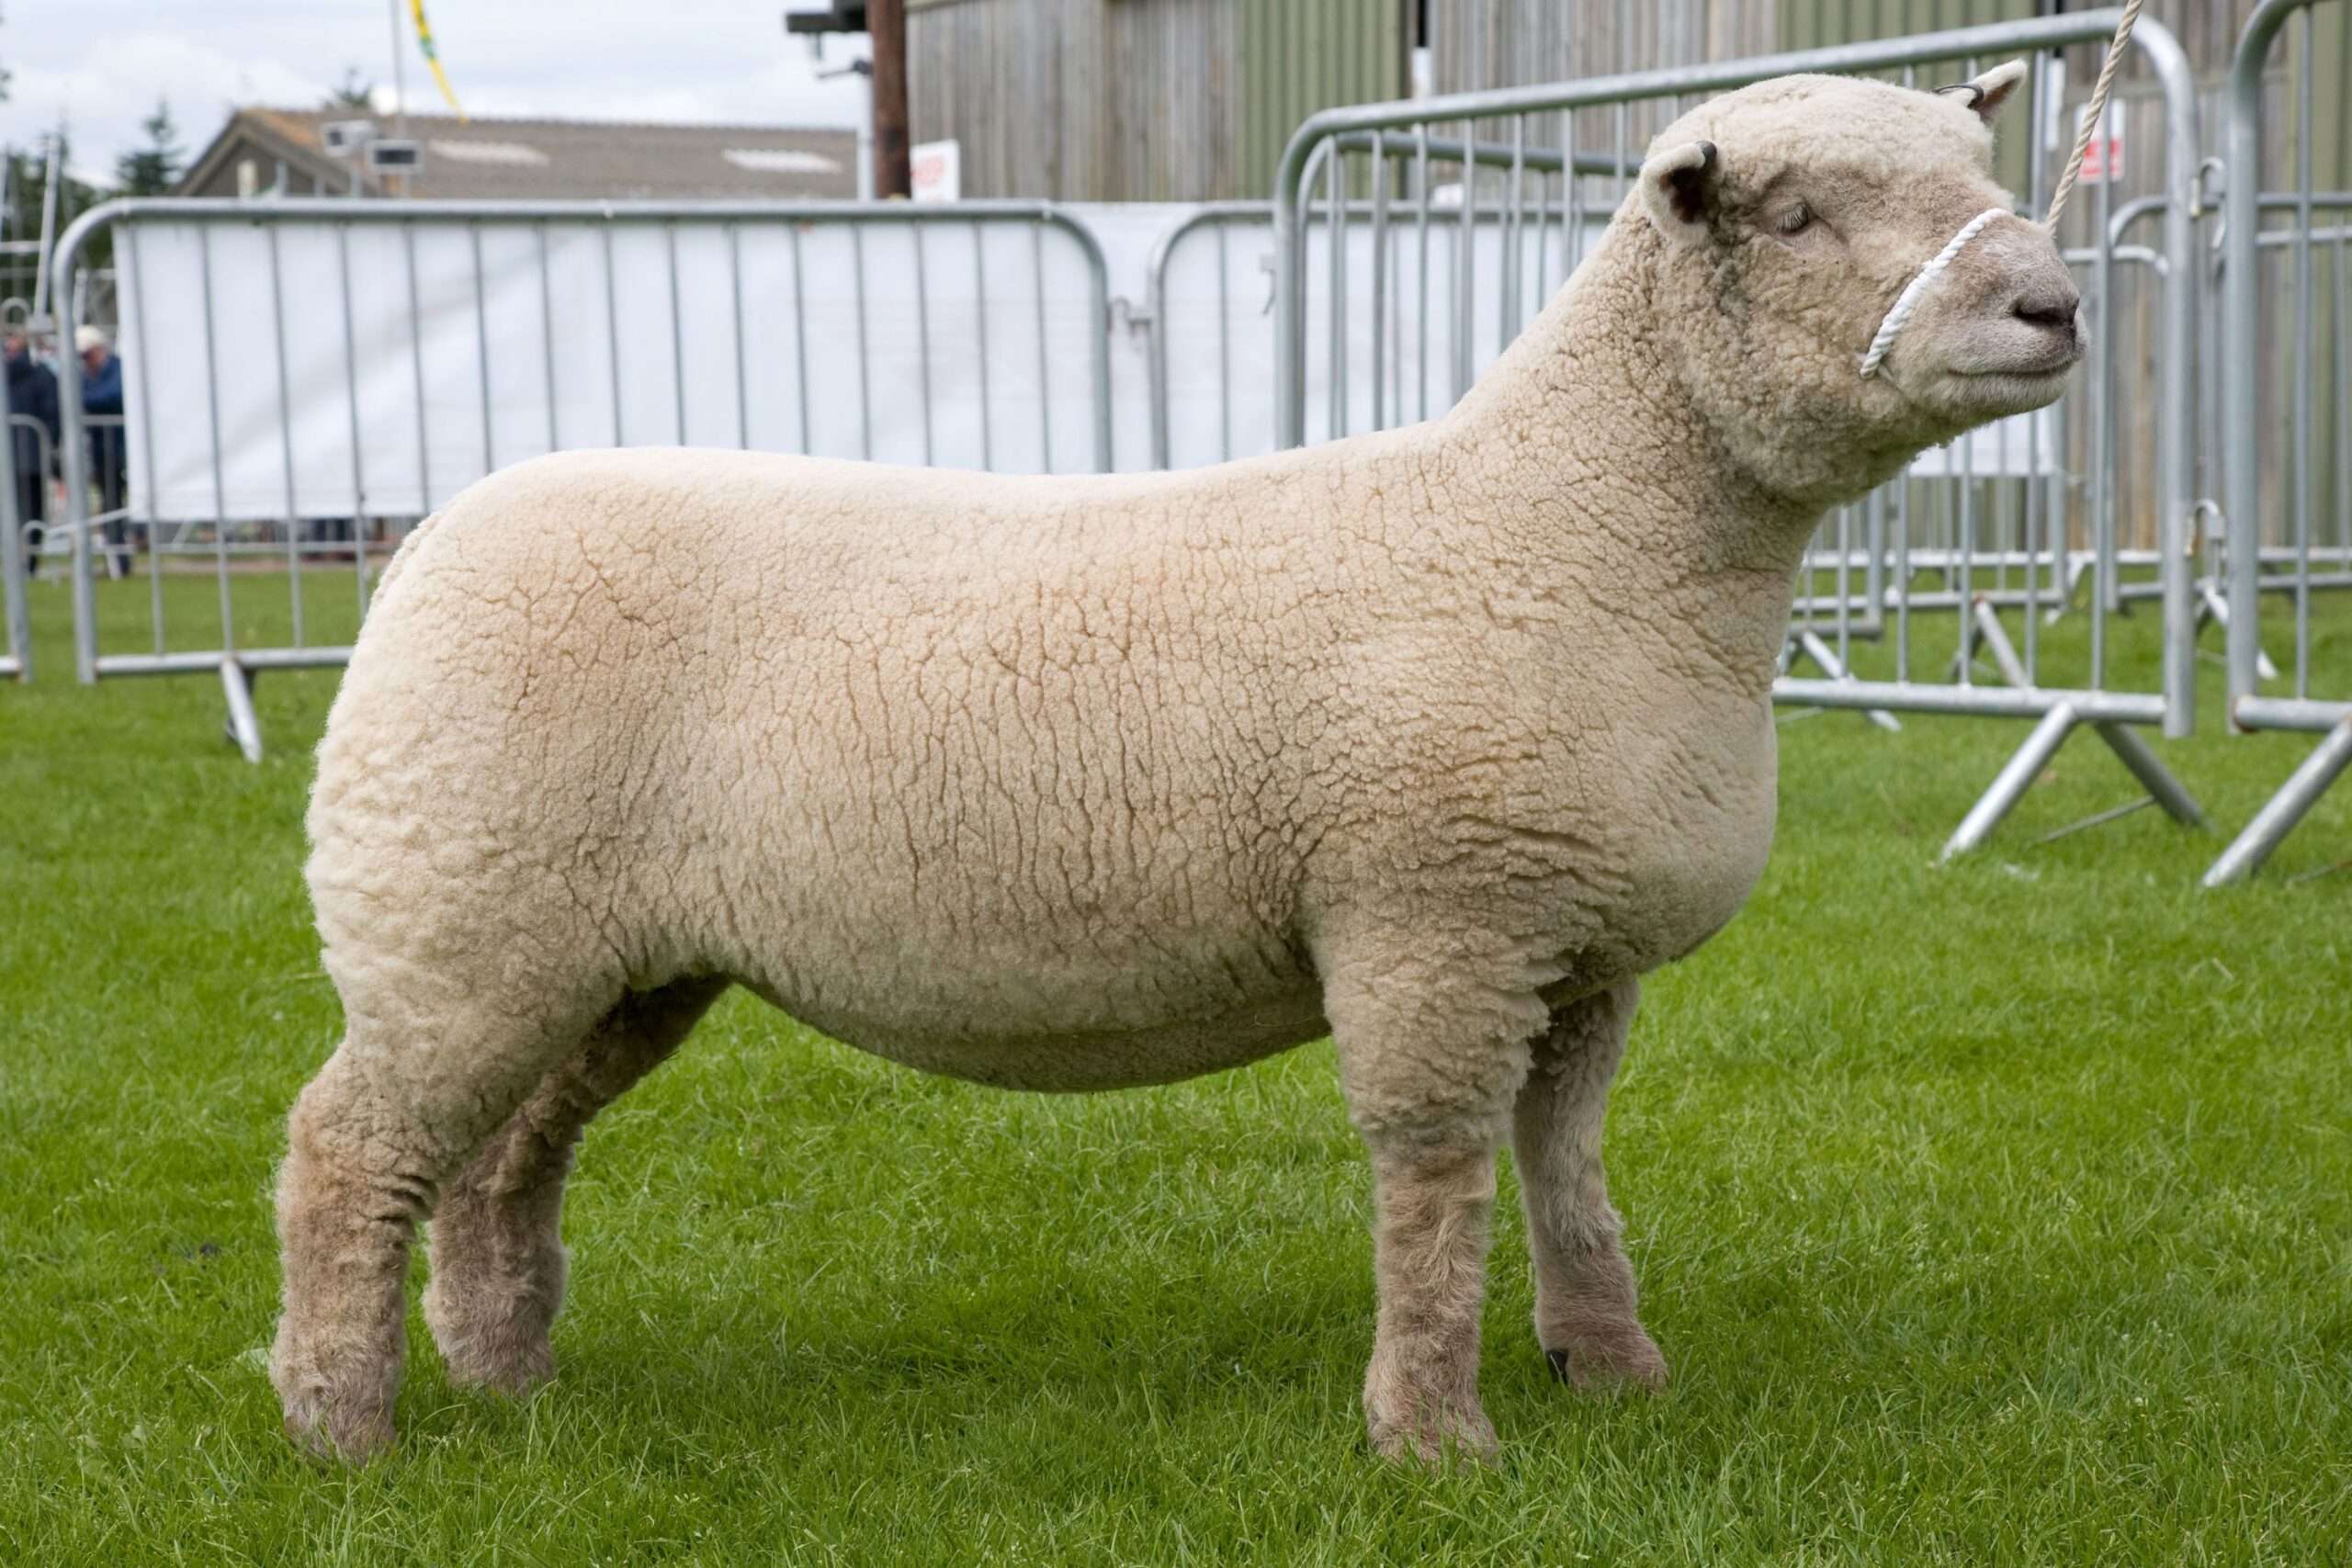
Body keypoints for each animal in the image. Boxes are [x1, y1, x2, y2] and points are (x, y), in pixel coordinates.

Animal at [272, 61, 2082, 1464]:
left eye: (1989, 173)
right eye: (1796, 218)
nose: (2056, 303)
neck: (1565, 523)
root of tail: (433, 538)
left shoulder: (1575, 950)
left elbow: (1565, 1171)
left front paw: (1613, 1369)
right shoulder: (1435, 920)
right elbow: (1437, 1184)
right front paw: (1436, 1435)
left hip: (606, 952)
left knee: (502, 1157)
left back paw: (504, 1373)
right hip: (456, 912)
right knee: (347, 1150)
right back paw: (342, 1424)